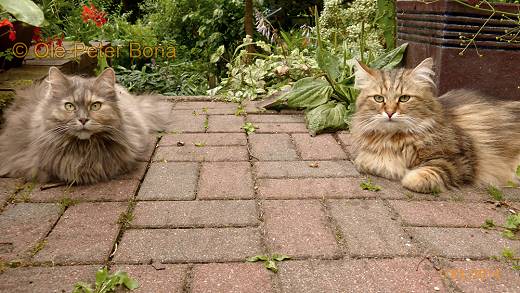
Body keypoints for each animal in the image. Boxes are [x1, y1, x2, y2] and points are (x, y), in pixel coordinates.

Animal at [352, 58, 516, 193]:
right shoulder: (367, 158)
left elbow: (426, 173)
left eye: (404, 98)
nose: (390, 113)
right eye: (379, 99)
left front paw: (408, 176)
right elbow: (367, 162)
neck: (395, 139)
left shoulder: (459, 159)